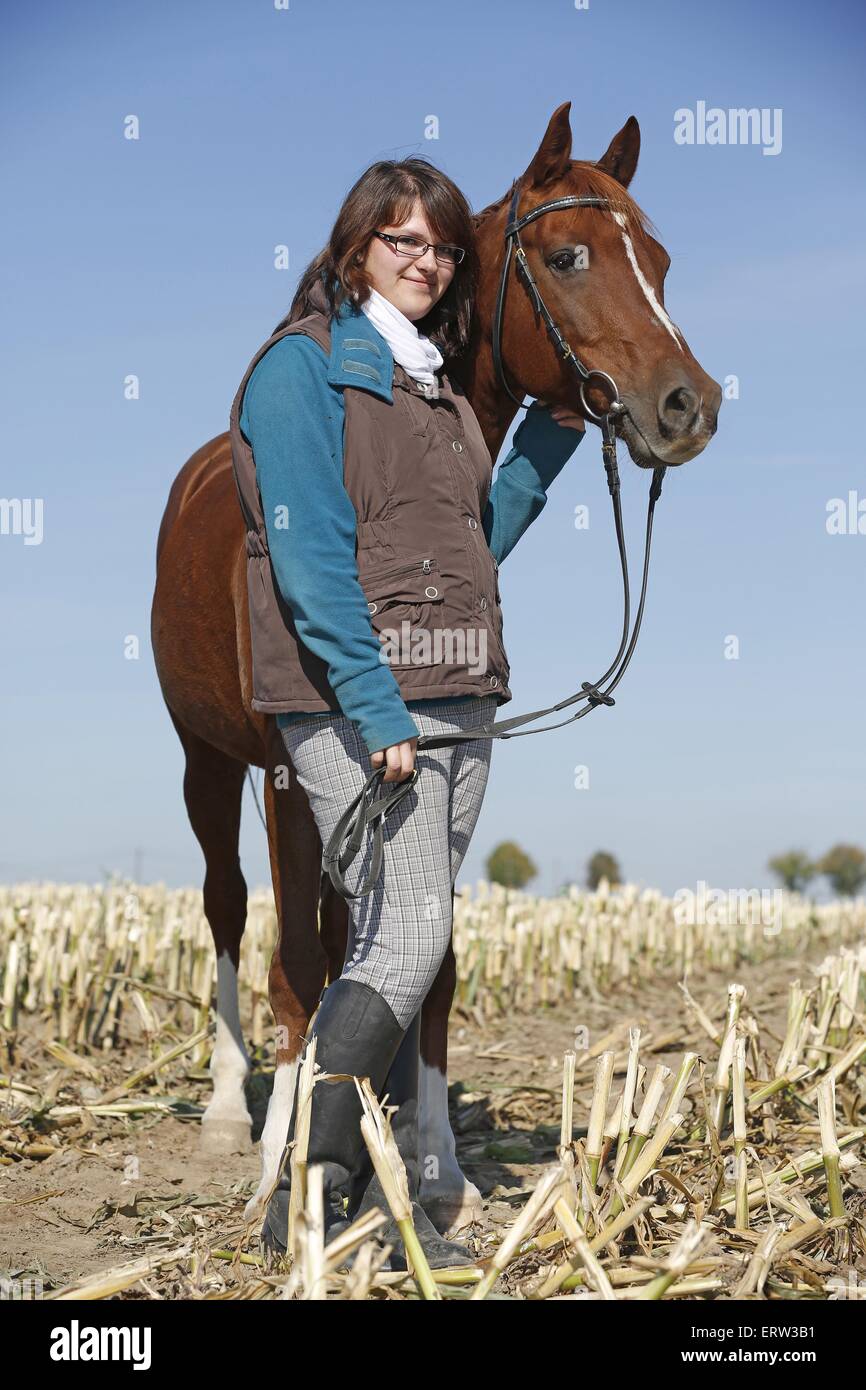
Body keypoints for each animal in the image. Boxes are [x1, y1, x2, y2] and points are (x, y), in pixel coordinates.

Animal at [152, 108, 722, 1239]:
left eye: (662, 260)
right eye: (568, 255)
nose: (689, 404)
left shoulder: (444, 768)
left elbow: (430, 960)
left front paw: (428, 1165)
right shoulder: (293, 782)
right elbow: (296, 966)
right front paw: (285, 1169)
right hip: (211, 761)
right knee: (233, 911)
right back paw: (233, 1114)